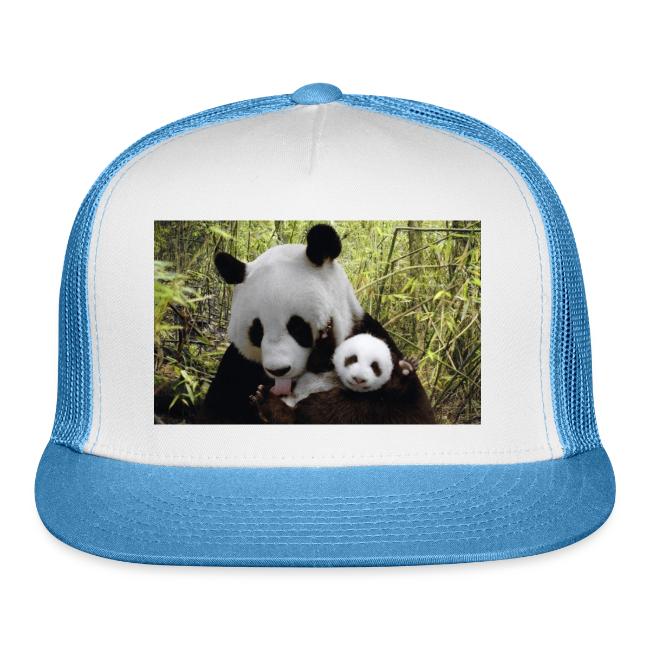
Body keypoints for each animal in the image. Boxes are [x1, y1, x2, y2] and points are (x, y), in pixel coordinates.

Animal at [249, 332, 435, 425]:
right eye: (353, 359)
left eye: (375, 366)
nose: (358, 379)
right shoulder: (326, 364)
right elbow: (317, 360)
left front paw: (406, 368)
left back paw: (266, 400)